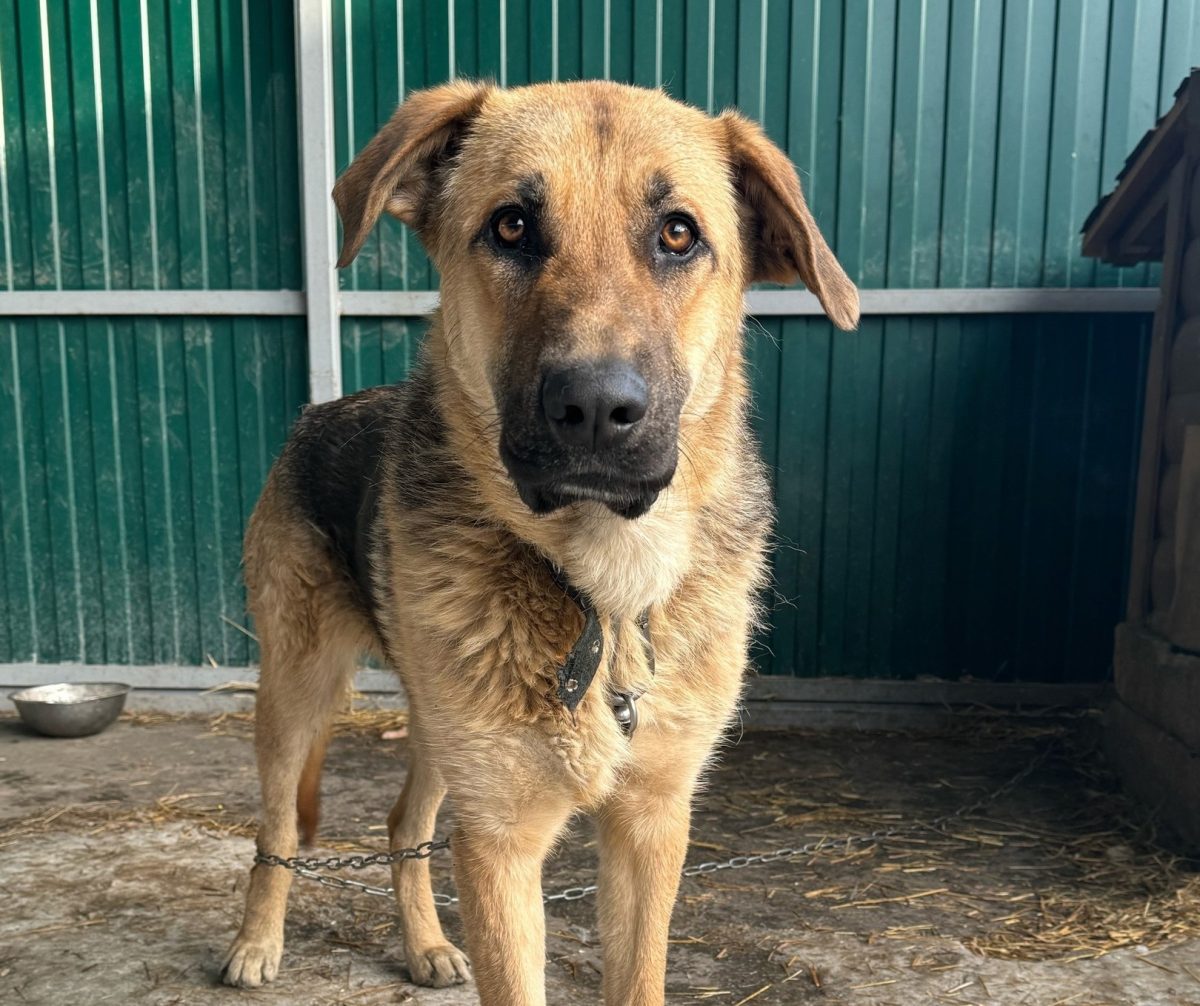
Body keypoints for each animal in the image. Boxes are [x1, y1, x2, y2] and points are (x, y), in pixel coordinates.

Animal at [225, 81, 859, 1006]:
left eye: (678, 234)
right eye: (512, 226)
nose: (595, 409)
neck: (607, 593)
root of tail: (320, 410)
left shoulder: (650, 826)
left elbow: (639, 976)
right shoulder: (502, 839)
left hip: (437, 729)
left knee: (404, 824)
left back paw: (426, 944)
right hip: (298, 691)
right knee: (275, 828)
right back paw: (255, 943)